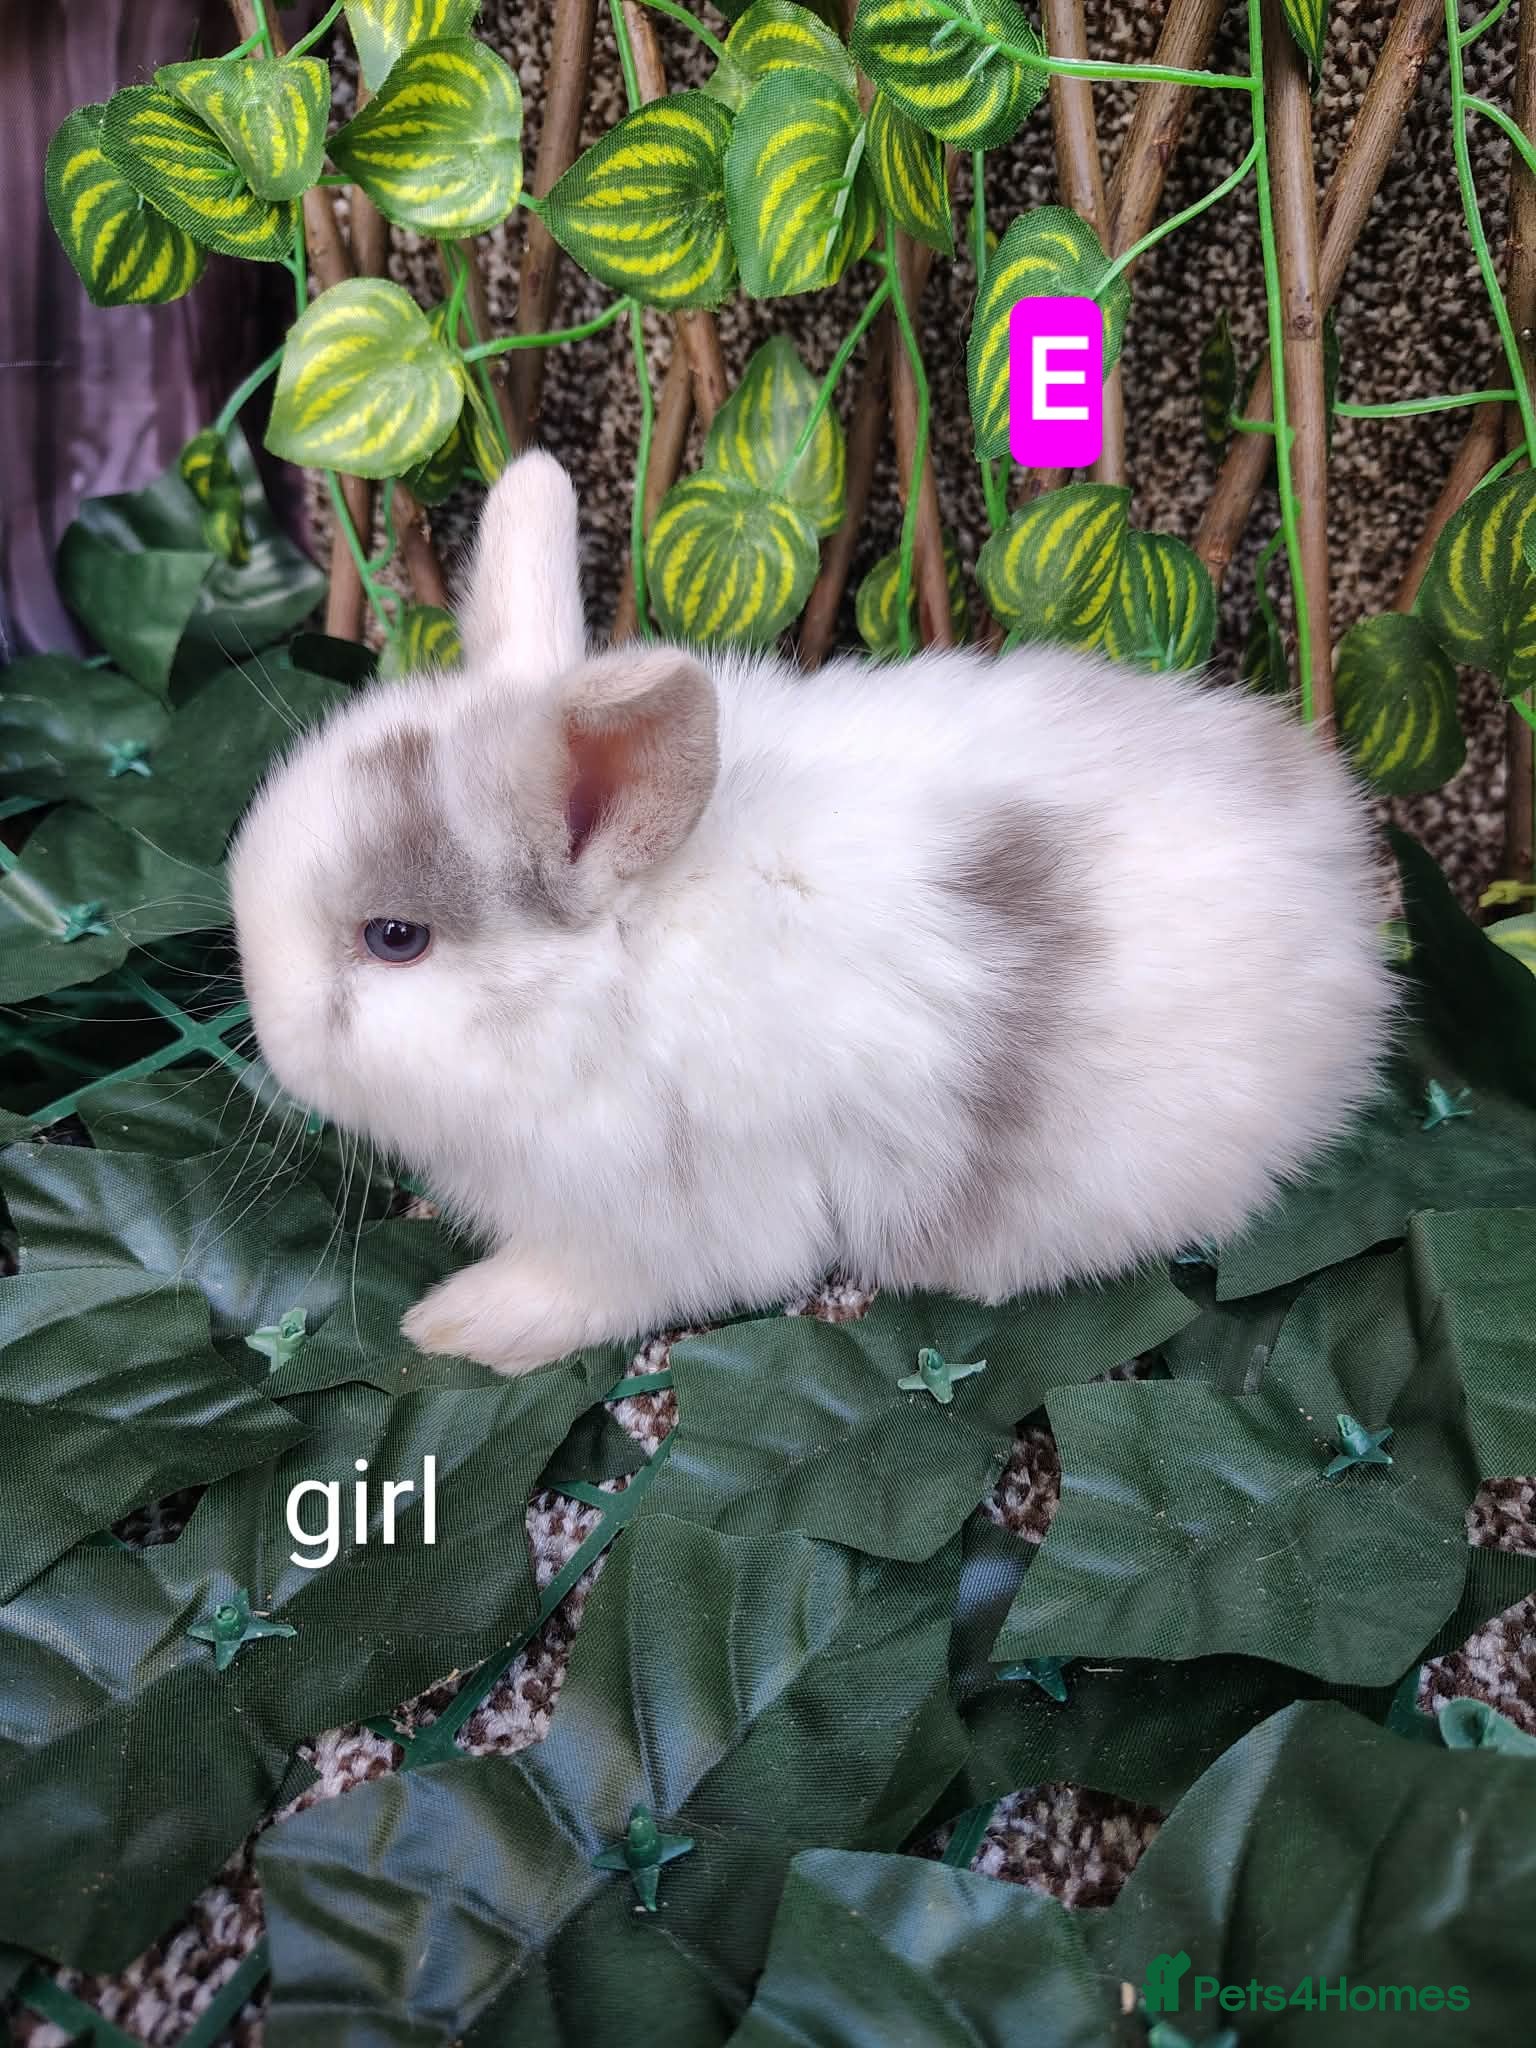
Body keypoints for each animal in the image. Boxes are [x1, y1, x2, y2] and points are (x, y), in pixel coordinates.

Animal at [230, 450, 1397, 1375]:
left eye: (395, 938)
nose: (271, 1035)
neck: (615, 975)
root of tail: (1351, 908)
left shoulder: (673, 1221)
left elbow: (592, 1288)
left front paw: (459, 1324)